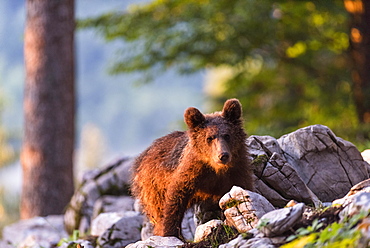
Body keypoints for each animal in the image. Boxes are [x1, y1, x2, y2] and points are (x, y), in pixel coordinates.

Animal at [131, 99, 254, 238]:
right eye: (209, 138)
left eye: (227, 135)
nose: (223, 155)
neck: (216, 169)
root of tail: (142, 156)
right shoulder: (191, 172)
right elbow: (175, 199)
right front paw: (170, 232)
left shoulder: (238, 169)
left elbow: (243, 188)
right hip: (152, 186)